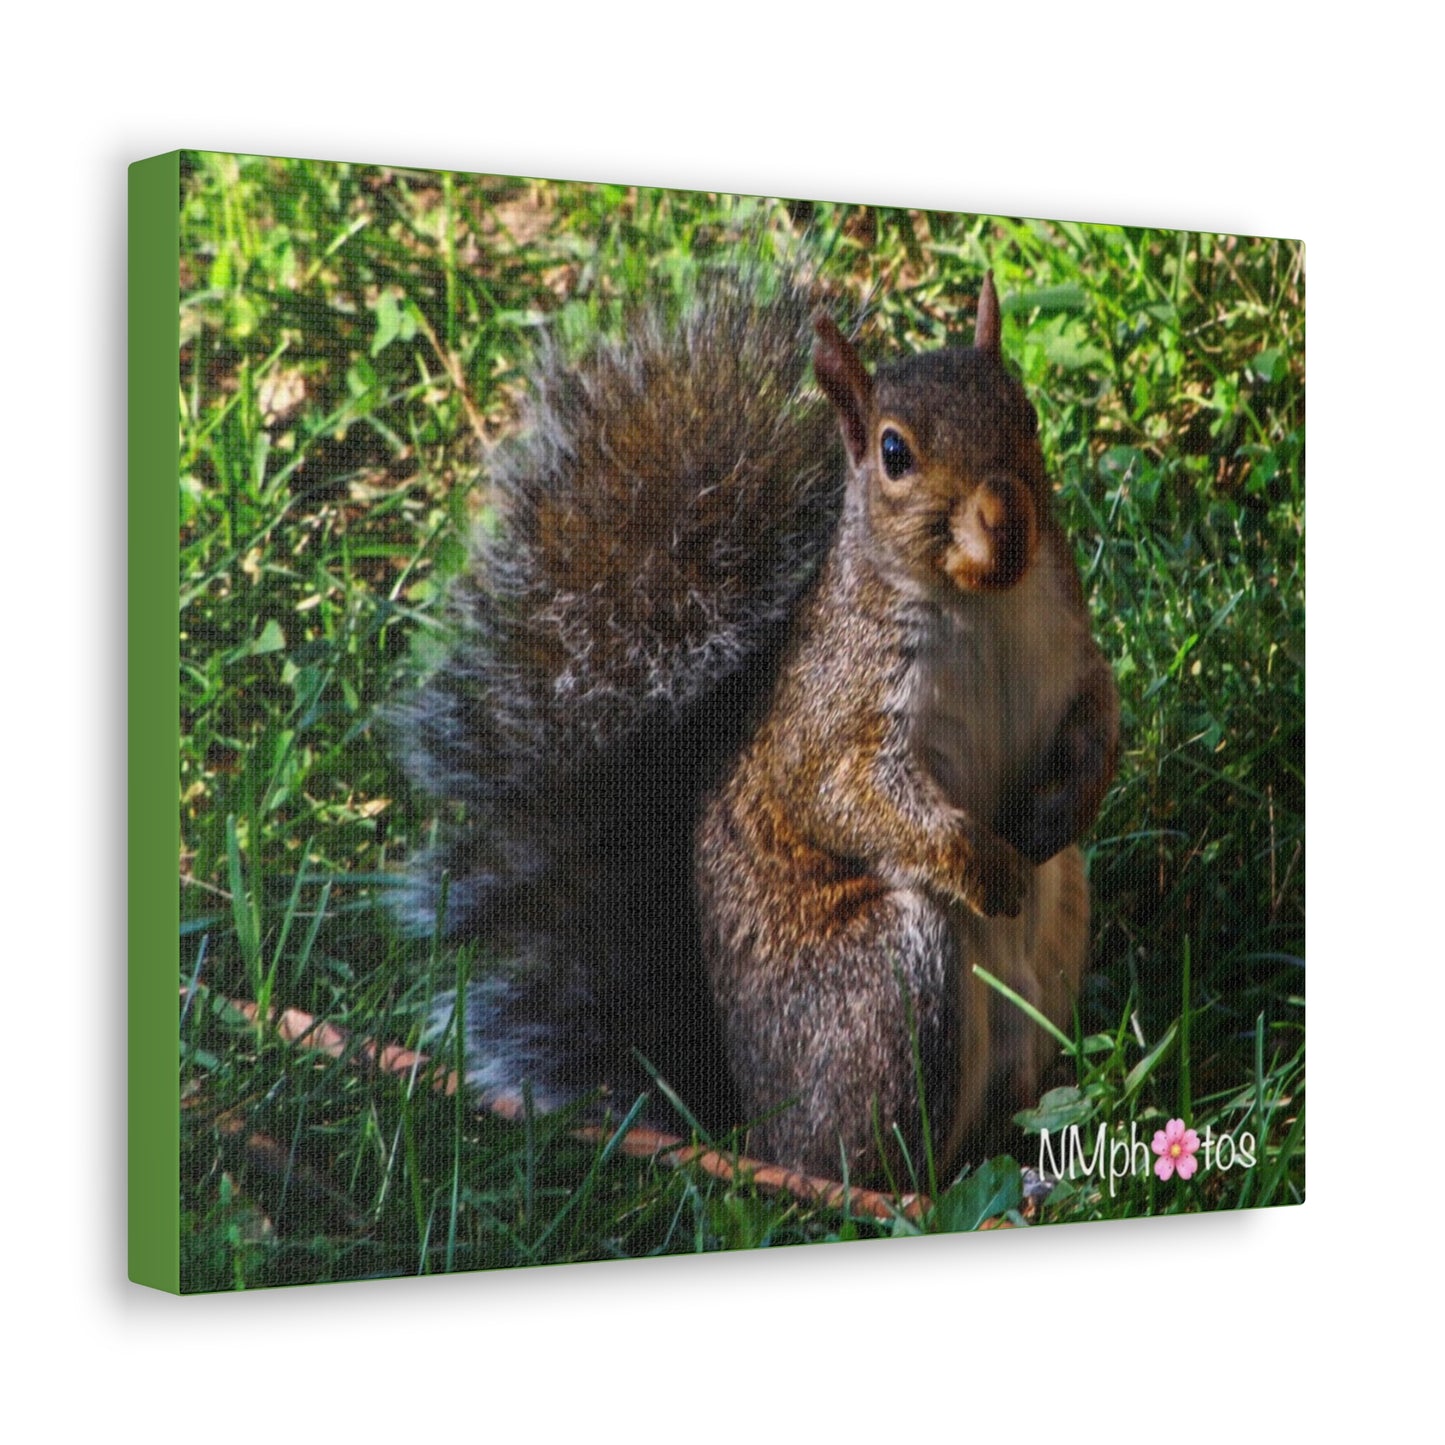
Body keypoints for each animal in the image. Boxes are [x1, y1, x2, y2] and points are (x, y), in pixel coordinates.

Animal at [396, 264, 1119, 1184]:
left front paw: (1067, 805)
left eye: (1024, 412)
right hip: (886, 983)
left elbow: (1099, 717)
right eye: (894, 453)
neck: (983, 603)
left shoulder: (1070, 650)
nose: (1007, 519)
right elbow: (851, 801)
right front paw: (985, 868)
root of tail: (757, 1137)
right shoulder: (836, 718)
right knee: (878, 1166)